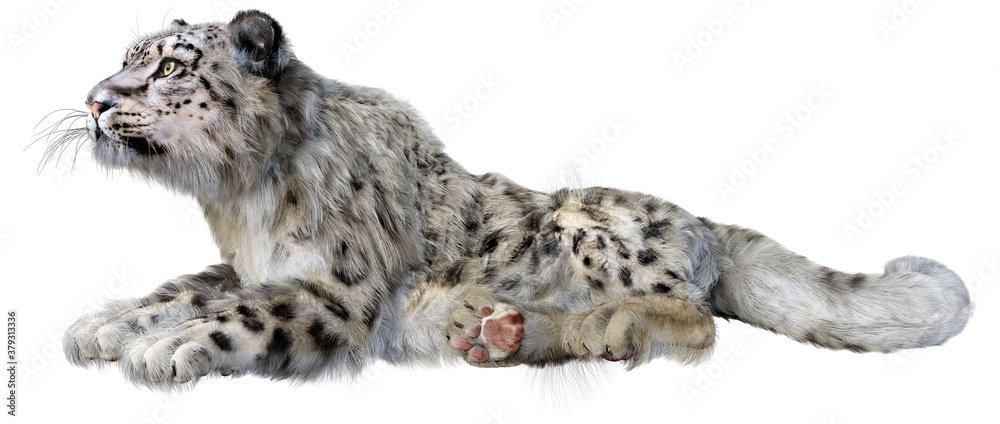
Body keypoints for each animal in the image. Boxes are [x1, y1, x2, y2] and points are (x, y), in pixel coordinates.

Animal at [43, 10, 971, 389]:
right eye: (127, 55)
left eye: (170, 66)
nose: (93, 100)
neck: (242, 202)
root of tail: (699, 222)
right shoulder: (245, 263)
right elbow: (187, 283)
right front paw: (105, 324)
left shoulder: (334, 289)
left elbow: (244, 312)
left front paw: (165, 347)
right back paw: (500, 332)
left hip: (587, 224)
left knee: (698, 319)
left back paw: (604, 324)